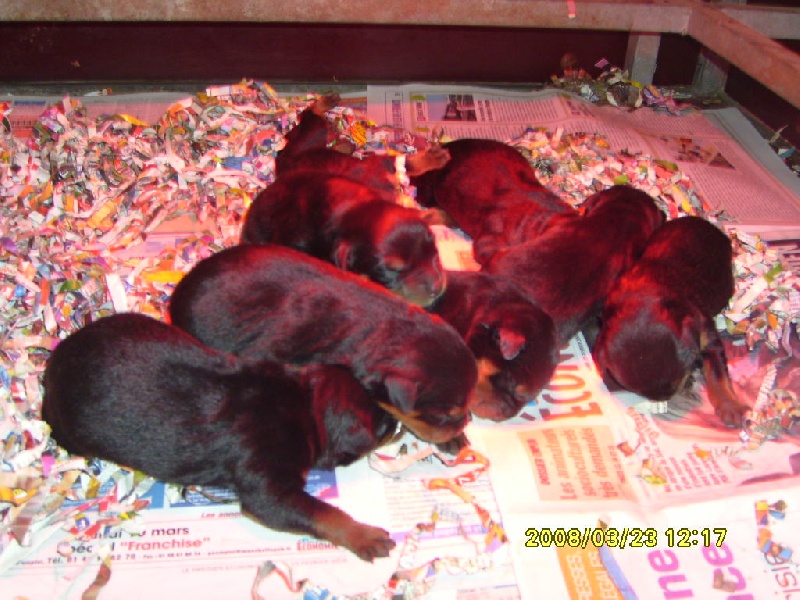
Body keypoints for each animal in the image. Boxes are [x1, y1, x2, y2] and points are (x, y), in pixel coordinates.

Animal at [41, 313, 398, 561]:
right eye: (381, 425)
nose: (396, 423)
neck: (302, 402)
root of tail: (52, 369)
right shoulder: (269, 489)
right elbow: (323, 512)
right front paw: (365, 535)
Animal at [591, 215, 747, 427]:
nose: (669, 397)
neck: (644, 297)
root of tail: (702, 221)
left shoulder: (706, 332)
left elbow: (717, 373)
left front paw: (730, 407)